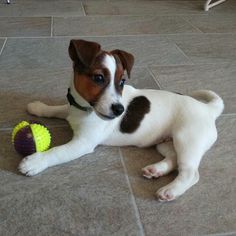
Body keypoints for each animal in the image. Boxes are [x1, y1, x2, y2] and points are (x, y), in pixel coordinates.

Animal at [18, 38, 223, 201]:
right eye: (98, 78)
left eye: (122, 81)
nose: (119, 110)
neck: (85, 109)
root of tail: (208, 109)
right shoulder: (70, 110)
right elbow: (57, 109)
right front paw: (38, 107)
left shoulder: (82, 143)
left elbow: (57, 152)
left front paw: (34, 162)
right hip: (165, 142)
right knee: (173, 158)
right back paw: (156, 170)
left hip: (187, 140)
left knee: (190, 172)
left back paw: (170, 190)